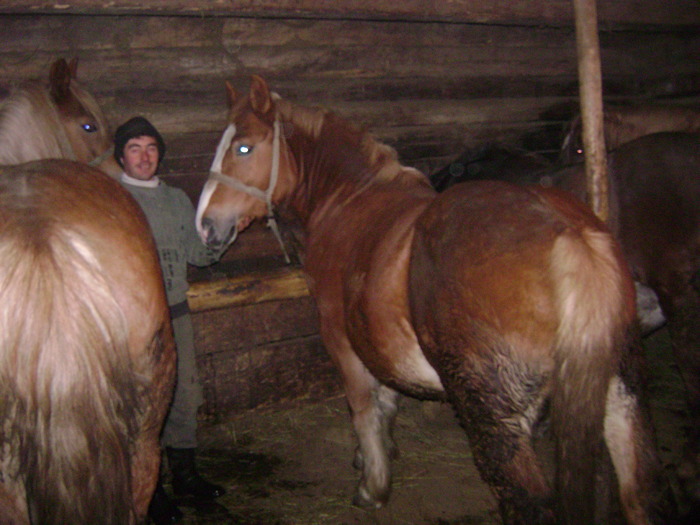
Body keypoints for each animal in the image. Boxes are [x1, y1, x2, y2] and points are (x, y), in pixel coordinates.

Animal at [194, 75, 668, 520]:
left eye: (243, 148)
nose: (205, 225)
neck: (347, 203)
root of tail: (570, 238)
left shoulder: (339, 337)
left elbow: (363, 407)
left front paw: (373, 483)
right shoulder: (376, 337)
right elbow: (386, 399)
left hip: (496, 419)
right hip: (622, 398)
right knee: (639, 495)